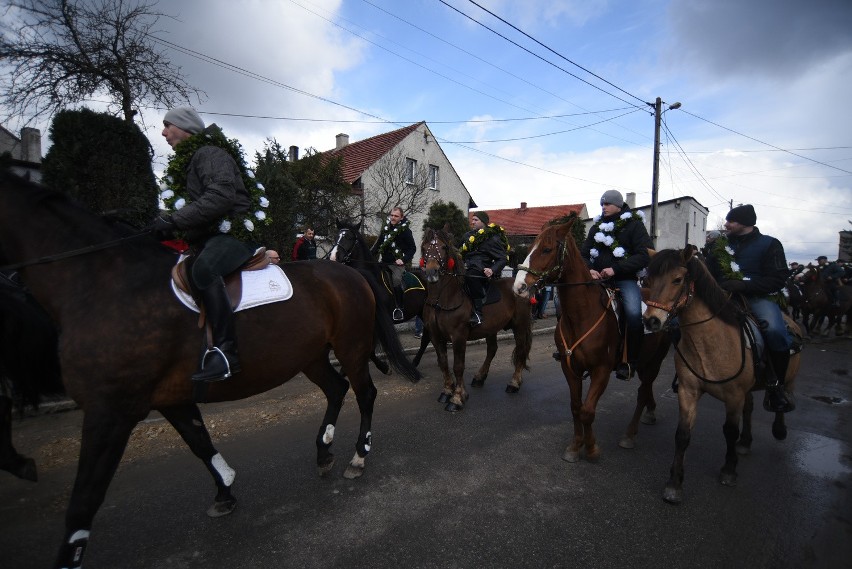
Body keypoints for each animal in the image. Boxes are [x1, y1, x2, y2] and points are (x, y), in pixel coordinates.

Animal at [0, 172, 420, 568]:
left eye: (349, 239)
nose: (334, 255)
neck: (109, 284)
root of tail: (353, 276)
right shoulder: (168, 398)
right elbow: (200, 442)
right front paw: (225, 491)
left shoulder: (111, 411)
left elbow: (84, 501)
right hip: (313, 356)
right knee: (337, 389)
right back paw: (323, 452)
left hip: (349, 349)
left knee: (365, 393)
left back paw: (358, 457)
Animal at [422, 229, 532, 410]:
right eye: (424, 247)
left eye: (444, 247)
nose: (431, 272)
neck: (442, 300)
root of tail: (521, 286)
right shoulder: (435, 336)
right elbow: (443, 363)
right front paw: (447, 391)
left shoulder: (458, 336)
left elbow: (458, 366)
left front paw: (457, 398)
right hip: (492, 328)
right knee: (492, 350)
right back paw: (480, 377)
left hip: (520, 325)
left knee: (521, 350)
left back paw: (514, 383)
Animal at [512, 217, 672, 462]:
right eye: (529, 247)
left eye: (547, 249)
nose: (519, 286)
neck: (582, 315)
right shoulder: (570, 368)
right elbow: (576, 407)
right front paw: (575, 445)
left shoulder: (601, 370)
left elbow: (587, 411)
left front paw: (591, 448)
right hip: (645, 361)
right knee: (647, 389)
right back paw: (650, 412)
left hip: (656, 360)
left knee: (643, 392)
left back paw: (630, 435)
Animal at [644, 247, 804, 502]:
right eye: (647, 280)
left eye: (677, 279)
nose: (651, 320)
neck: (710, 341)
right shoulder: (689, 390)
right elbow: (682, 435)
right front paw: (674, 483)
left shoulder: (733, 395)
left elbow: (729, 431)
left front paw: (729, 471)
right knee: (749, 409)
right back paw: (745, 442)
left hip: (788, 378)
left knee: (785, 396)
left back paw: (779, 427)